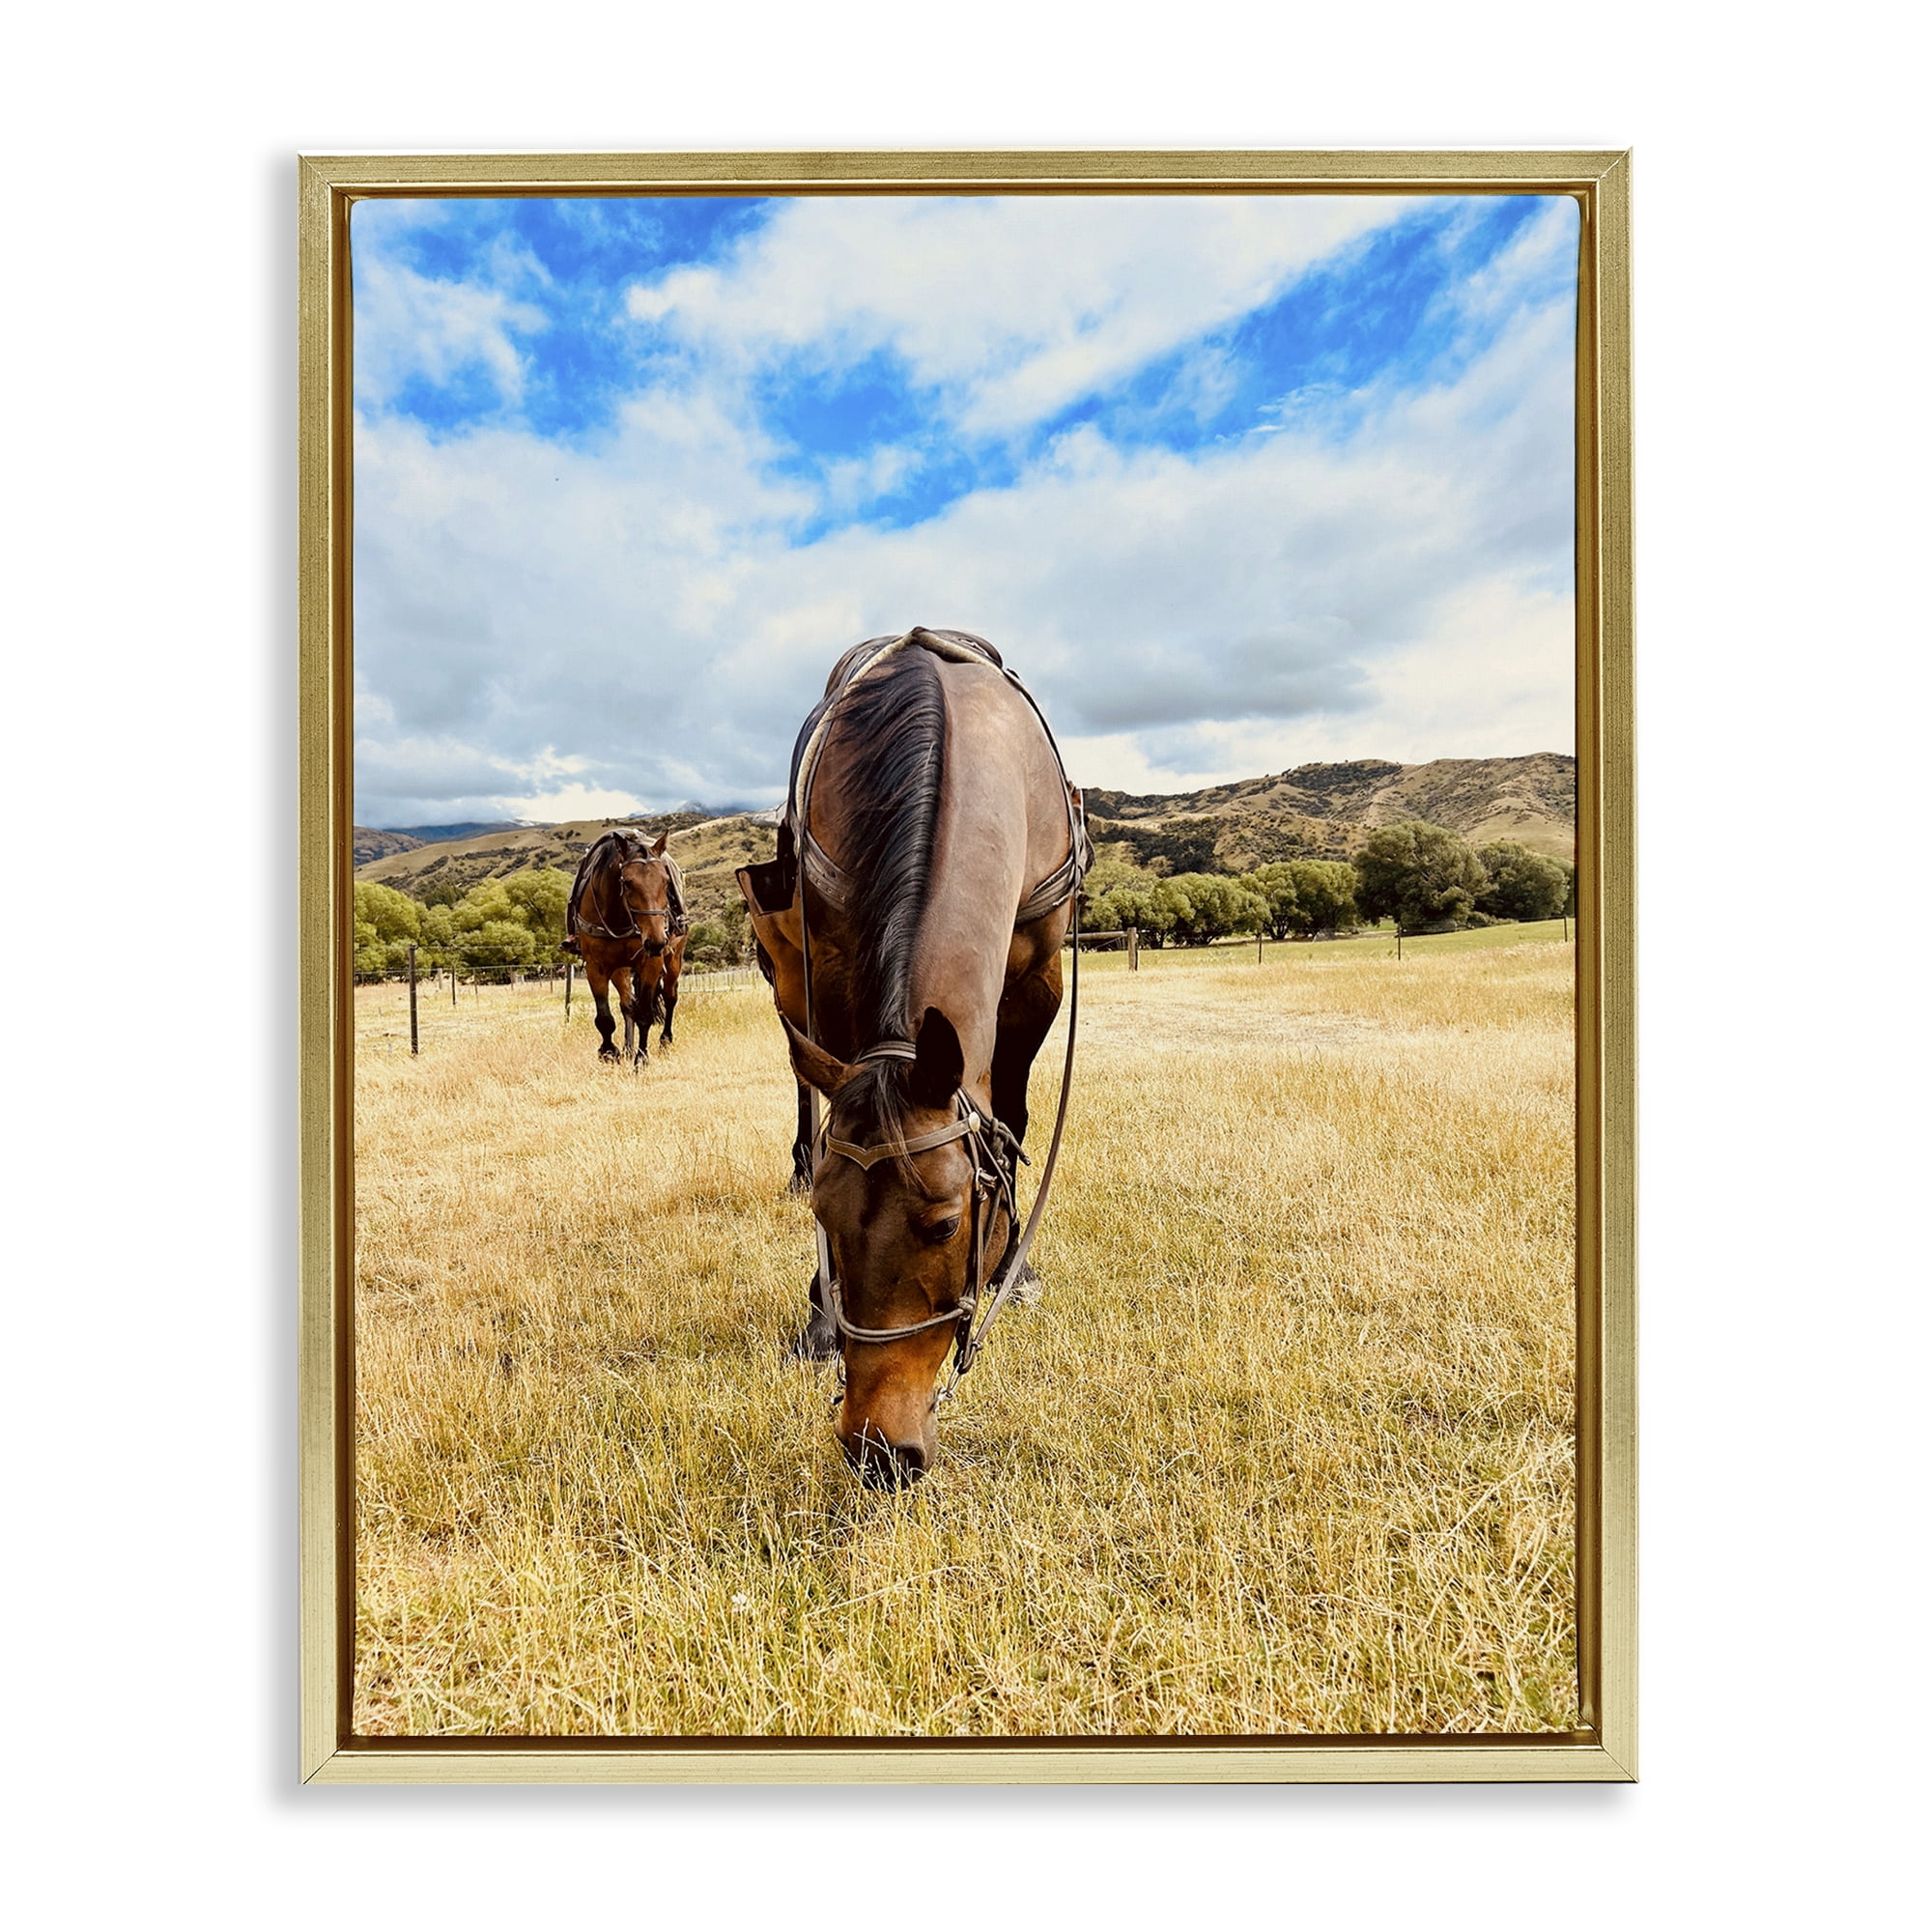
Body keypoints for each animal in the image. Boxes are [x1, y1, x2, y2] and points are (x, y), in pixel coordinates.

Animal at [564, 829, 689, 1065]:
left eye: (666, 882)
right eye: (628, 883)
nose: (656, 941)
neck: (619, 916)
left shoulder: (652, 963)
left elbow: (645, 1014)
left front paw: (641, 1059)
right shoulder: (596, 967)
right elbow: (605, 1017)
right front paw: (609, 1052)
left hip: (674, 959)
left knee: (670, 998)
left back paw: (664, 1041)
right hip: (620, 968)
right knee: (627, 1004)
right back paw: (628, 1047)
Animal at [737, 628, 1088, 1486]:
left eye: (947, 1223)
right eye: (825, 1216)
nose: (877, 1450)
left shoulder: (1039, 973)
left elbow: (1013, 1113)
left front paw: (1015, 1267)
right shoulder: (831, 968)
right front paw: (819, 1314)